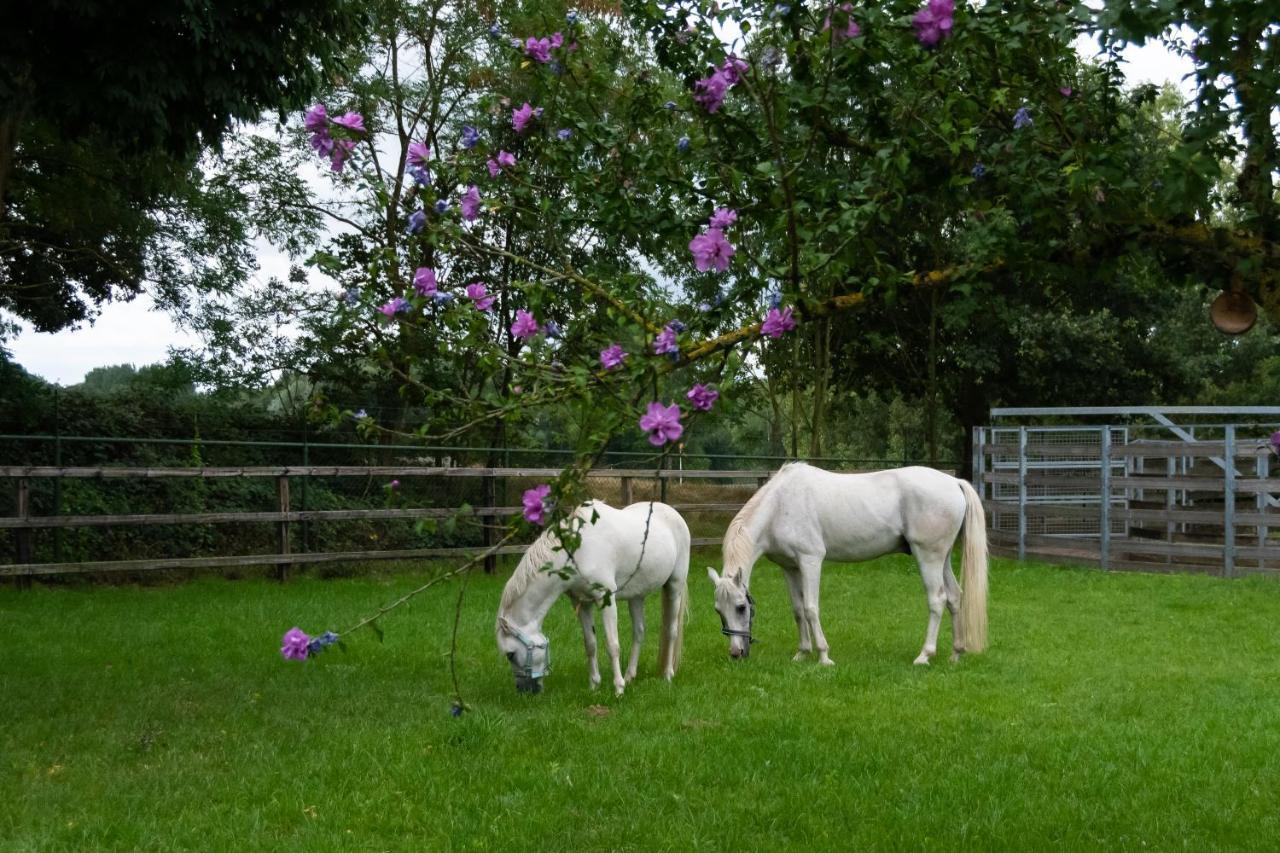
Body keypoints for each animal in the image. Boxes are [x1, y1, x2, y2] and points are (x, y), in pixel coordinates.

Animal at [494, 499, 691, 691]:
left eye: (510, 654)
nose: (524, 690)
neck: (578, 550)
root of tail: (673, 513)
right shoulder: (581, 603)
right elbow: (590, 644)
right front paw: (594, 685)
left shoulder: (606, 599)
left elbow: (612, 645)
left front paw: (618, 688)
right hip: (637, 596)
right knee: (639, 632)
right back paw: (630, 676)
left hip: (675, 586)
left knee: (671, 631)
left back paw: (667, 674)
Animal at [706, 458, 983, 666]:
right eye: (718, 611)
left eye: (741, 607)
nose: (736, 653)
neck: (779, 506)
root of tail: (954, 482)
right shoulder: (789, 567)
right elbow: (797, 610)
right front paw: (802, 653)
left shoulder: (810, 561)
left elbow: (811, 608)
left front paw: (823, 656)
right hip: (942, 558)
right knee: (954, 597)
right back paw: (956, 654)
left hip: (928, 556)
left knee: (937, 600)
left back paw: (924, 655)